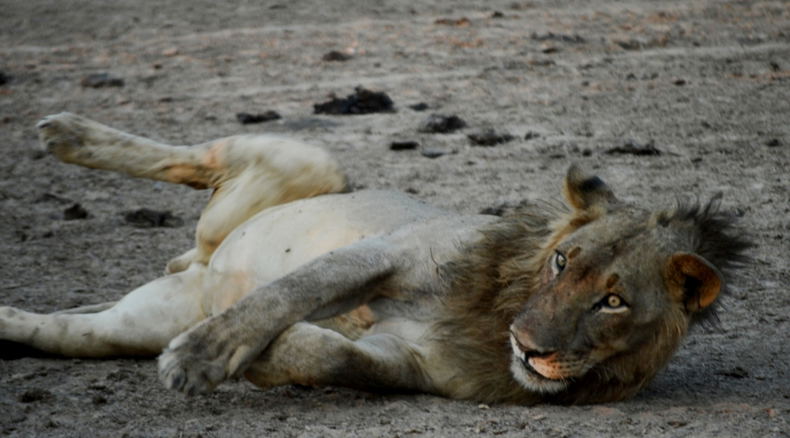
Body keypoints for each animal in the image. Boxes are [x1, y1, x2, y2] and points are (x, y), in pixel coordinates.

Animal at [0, 112, 751, 405]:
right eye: (563, 261)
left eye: (613, 301)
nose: (529, 347)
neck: (498, 309)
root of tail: (197, 267)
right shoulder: (391, 250)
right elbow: (290, 292)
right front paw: (203, 356)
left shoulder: (409, 365)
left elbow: (329, 355)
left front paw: (264, 356)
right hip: (311, 162)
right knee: (191, 158)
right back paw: (66, 133)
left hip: (129, 323)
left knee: (66, 331)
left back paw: (11, 324)